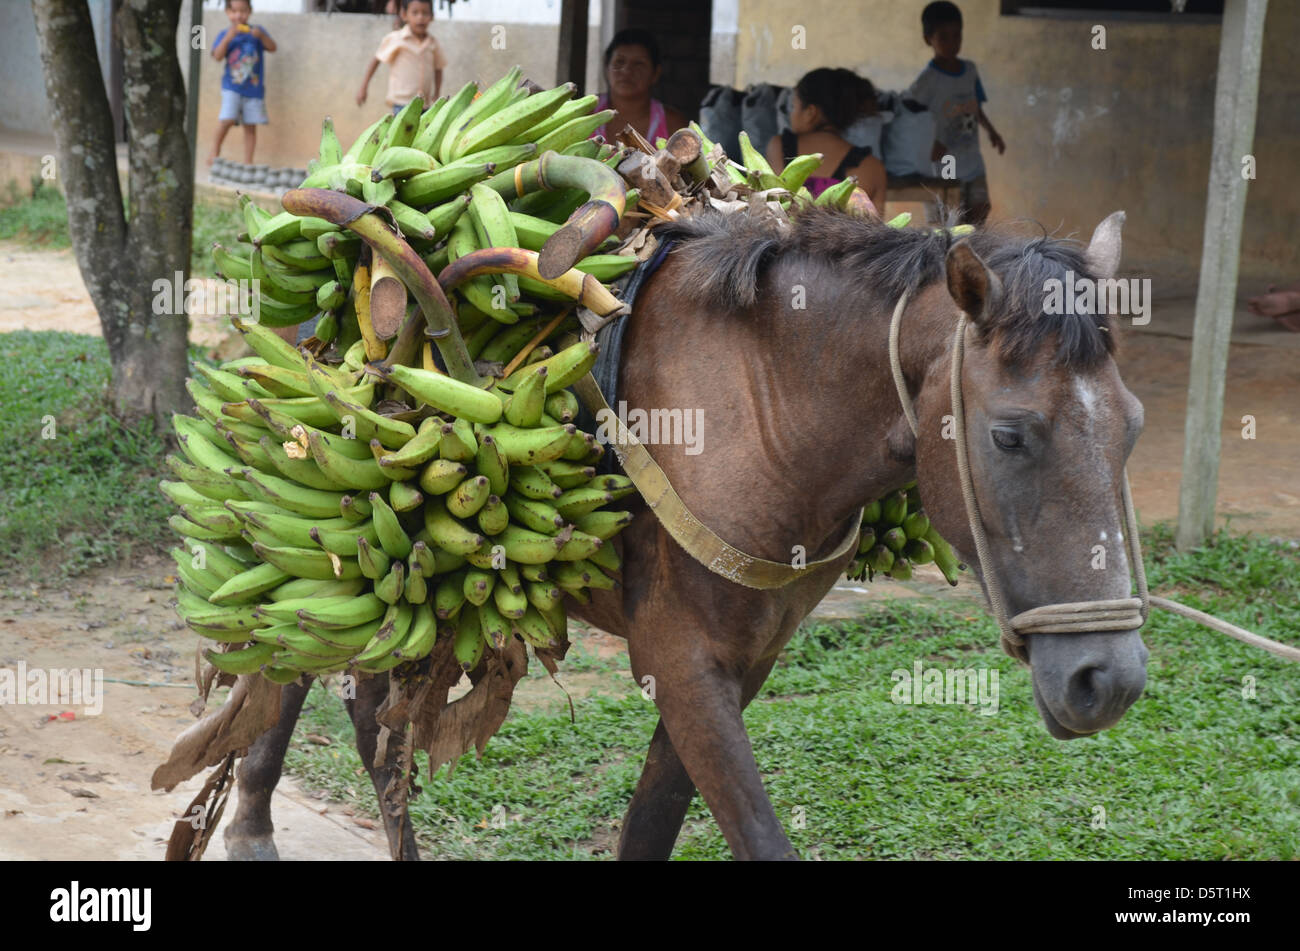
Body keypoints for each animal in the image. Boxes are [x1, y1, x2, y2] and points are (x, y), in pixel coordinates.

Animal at [222, 206, 1148, 861]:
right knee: (292, 657)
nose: (1109, 678)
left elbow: (653, 823)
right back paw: (252, 821)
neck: (764, 410)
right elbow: (757, 835)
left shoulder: (743, 657)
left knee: (372, 712)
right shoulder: (679, 656)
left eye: (1133, 425)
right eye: (1009, 435)